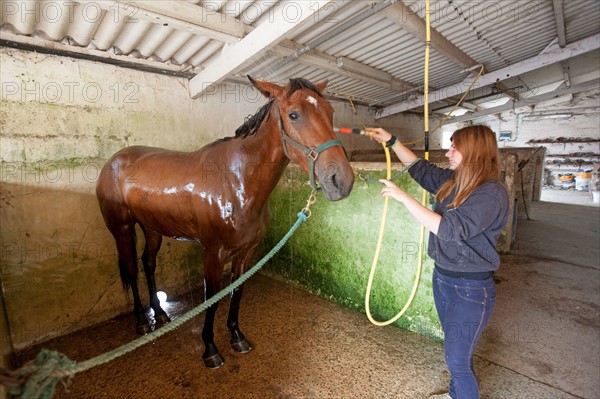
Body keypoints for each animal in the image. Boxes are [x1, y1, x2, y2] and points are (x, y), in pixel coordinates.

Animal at [95, 76, 354, 370]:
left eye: (330, 112)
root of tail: (113, 161)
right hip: (122, 229)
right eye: (294, 115)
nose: (341, 180)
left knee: (148, 264)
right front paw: (210, 349)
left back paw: (159, 314)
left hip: (152, 228)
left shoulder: (247, 251)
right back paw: (141, 321)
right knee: (131, 269)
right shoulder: (213, 253)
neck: (237, 181)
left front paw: (237, 337)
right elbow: (212, 299)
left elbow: (236, 292)